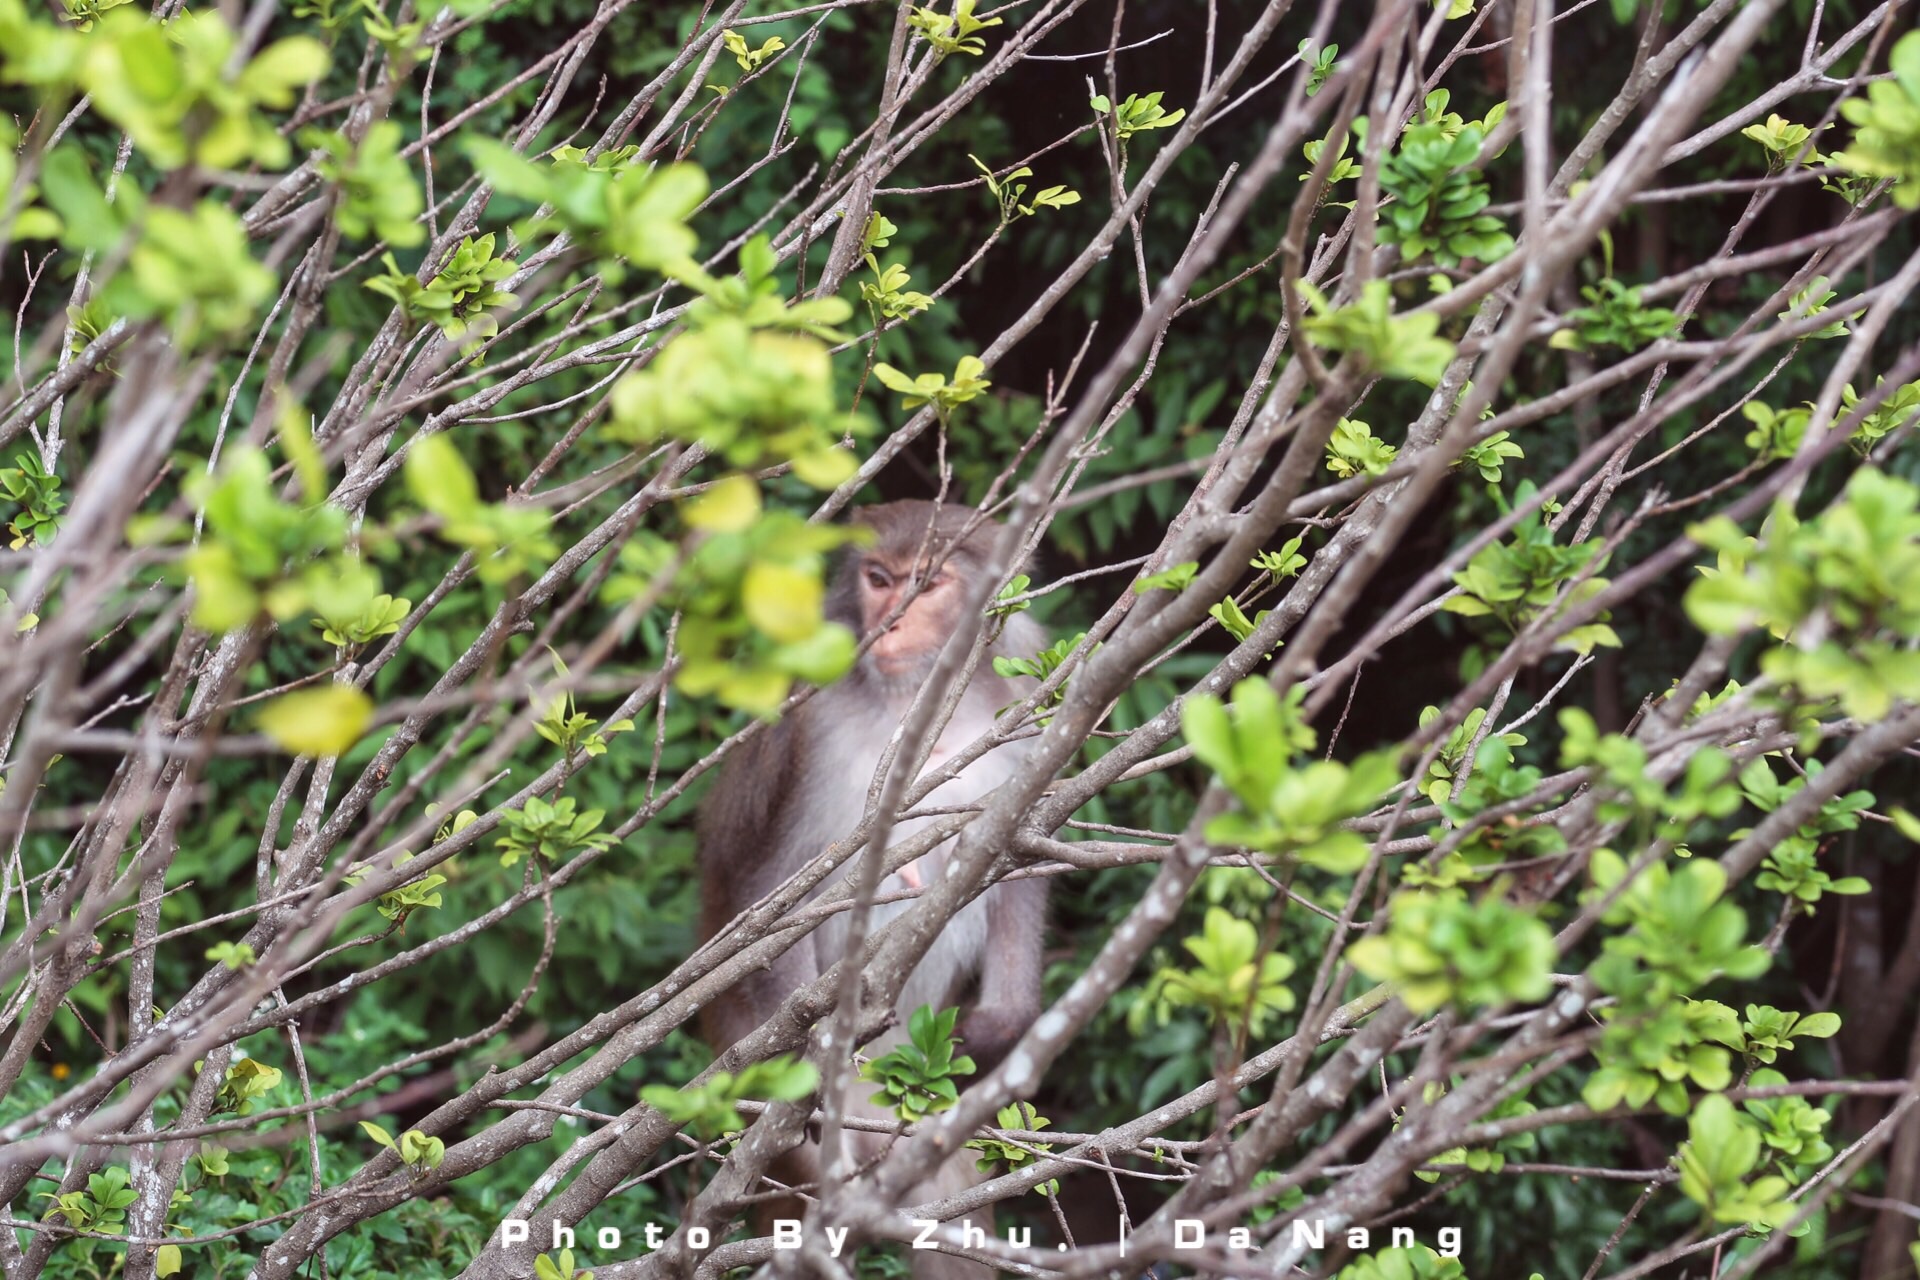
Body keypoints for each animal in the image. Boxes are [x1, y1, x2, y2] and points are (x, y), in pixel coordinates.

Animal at [695, 498, 1052, 1274]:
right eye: (880, 580)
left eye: (929, 582)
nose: (892, 622)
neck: (915, 701)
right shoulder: (806, 732)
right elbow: (771, 891)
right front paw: (808, 1063)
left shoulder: (1031, 719)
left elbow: (1018, 864)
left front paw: (995, 1029)